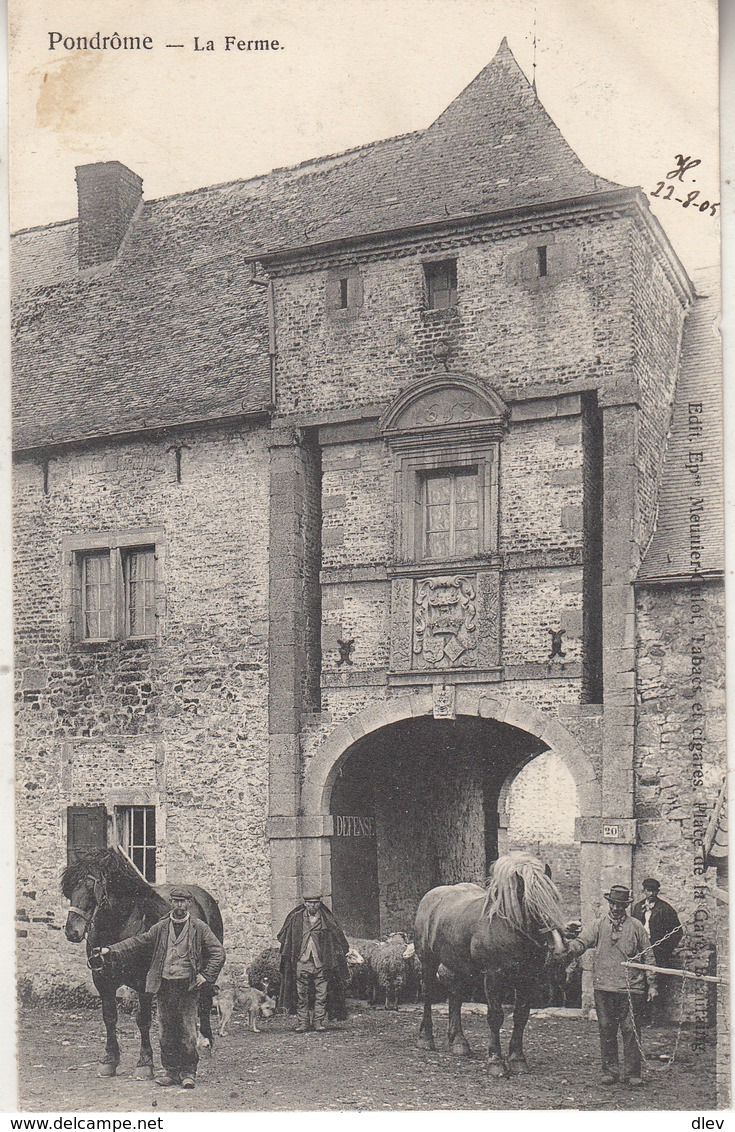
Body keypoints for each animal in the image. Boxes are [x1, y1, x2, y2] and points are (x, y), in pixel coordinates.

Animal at [62, 851, 223, 1077]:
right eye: (68, 890)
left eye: (89, 886)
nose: (72, 932)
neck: (118, 927)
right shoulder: (102, 981)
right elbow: (109, 1017)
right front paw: (109, 1060)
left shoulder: (144, 983)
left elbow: (143, 1020)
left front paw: (145, 1063)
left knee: (205, 1001)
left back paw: (205, 1042)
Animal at [412, 851, 568, 1077]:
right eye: (532, 905)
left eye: (554, 900)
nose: (559, 948)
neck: (507, 927)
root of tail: (431, 897)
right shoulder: (493, 976)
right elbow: (495, 1016)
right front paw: (496, 1061)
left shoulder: (527, 979)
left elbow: (521, 1016)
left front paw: (517, 1058)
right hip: (428, 962)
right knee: (428, 994)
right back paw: (425, 1039)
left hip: (458, 966)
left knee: (455, 995)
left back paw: (459, 1042)